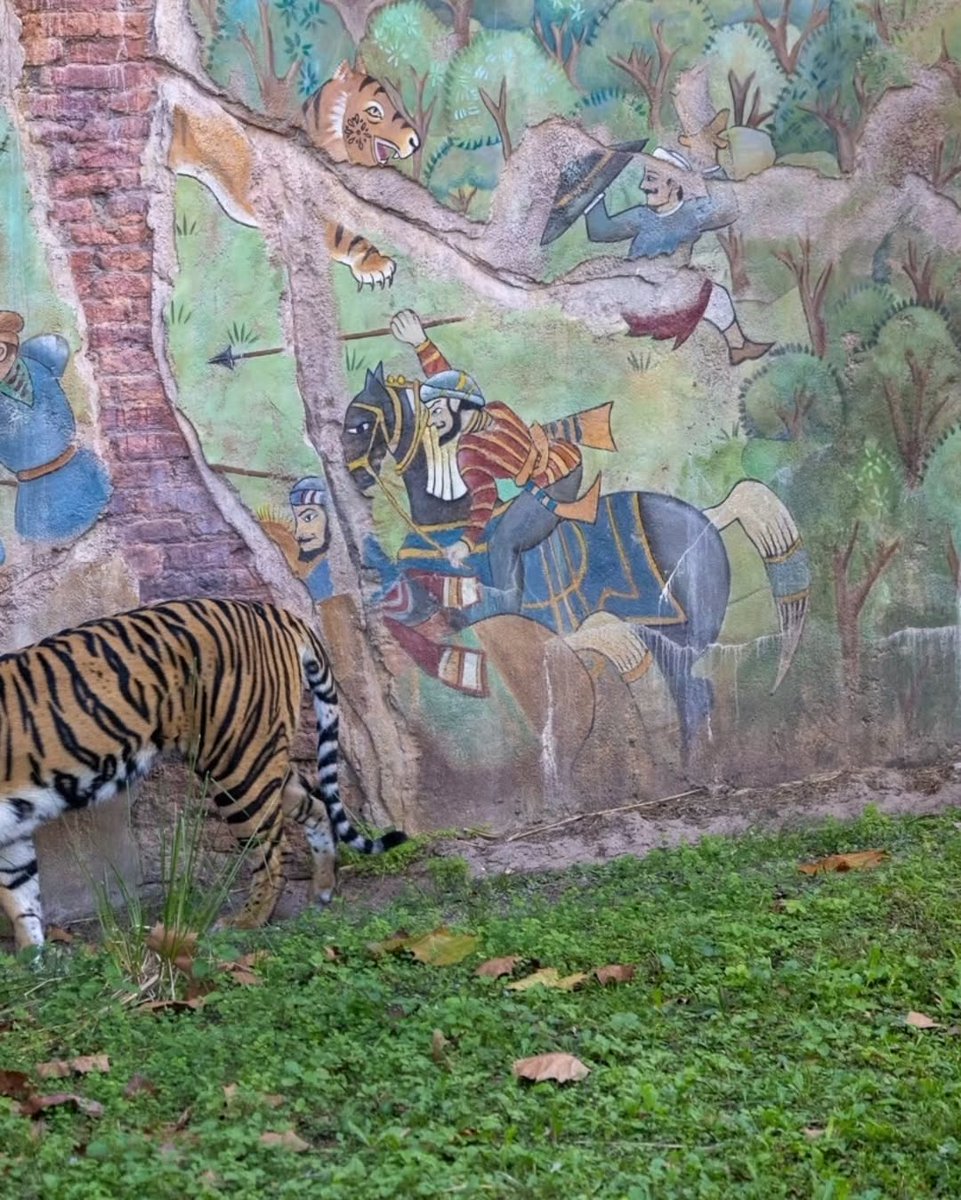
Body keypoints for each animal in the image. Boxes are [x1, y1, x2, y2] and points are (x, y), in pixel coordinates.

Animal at [0, 598, 407, 950]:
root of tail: (274, 611)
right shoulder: (11, 829)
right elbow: (21, 895)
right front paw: (32, 958)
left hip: (239, 768)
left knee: (270, 857)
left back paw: (245, 922)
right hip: (260, 758)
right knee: (317, 806)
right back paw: (320, 893)